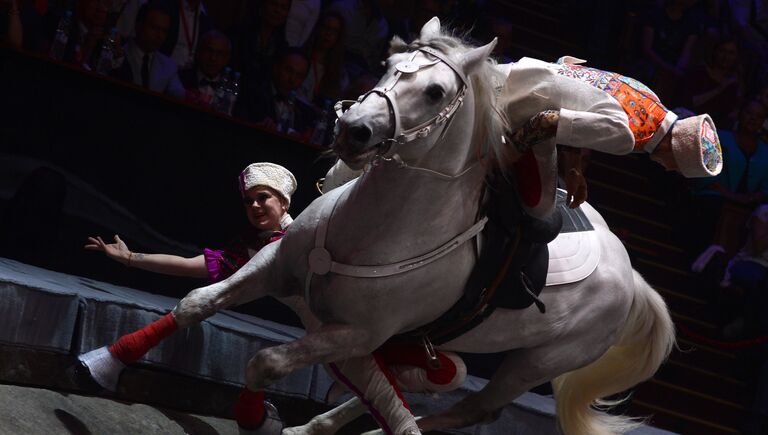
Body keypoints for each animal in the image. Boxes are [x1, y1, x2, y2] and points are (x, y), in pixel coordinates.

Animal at [112, 17, 672, 435]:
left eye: (436, 91)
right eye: (386, 67)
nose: (353, 129)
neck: (379, 228)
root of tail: (634, 279)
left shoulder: (357, 332)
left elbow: (265, 362)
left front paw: (254, 415)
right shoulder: (275, 264)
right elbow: (195, 303)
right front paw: (112, 359)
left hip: (537, 362)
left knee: (471, 407)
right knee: (427, 380)